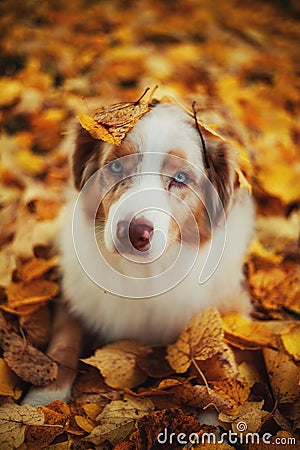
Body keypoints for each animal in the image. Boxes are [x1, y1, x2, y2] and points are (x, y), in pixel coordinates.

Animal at [22, 99, 254, 408]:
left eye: (181, 177)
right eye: (117, 166)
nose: (133, 233)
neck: (145, 275)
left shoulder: (232, 312)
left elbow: (225, 364)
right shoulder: (74, 296)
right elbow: (62, 342)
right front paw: (43, 402)